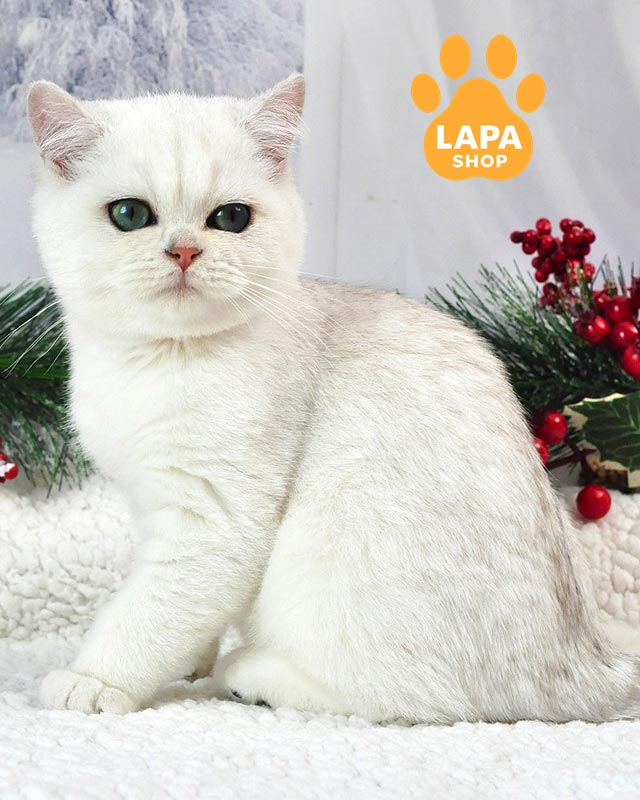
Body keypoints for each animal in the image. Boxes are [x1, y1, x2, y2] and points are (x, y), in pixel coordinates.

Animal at [27, 75, 639, 723]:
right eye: (129, 214)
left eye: (231, 218)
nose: (185, 251)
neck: (156, 360)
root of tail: (592, 670)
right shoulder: (150, 503)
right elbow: (181, 615)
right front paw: (188, 659)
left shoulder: (211, 523)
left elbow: (147, 613)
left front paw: (94, 679)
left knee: (410, 699)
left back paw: (251, 675)